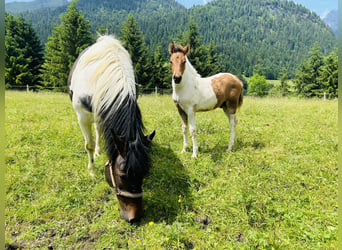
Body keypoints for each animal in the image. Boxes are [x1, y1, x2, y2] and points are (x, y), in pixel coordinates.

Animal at [68, 35, 155, 223]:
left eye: (145, 173)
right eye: (122, 175)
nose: (135, 217)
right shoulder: (82, 115)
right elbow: (88, 145)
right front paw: (92, 171)